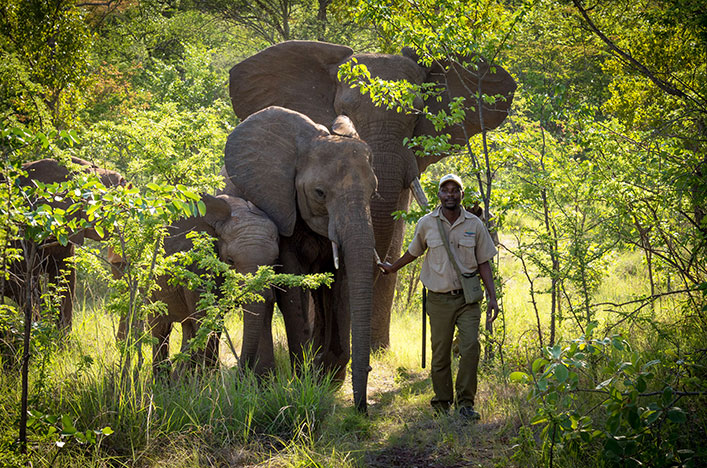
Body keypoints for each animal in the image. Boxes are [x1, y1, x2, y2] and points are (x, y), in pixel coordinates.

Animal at [138, 192, 280, 374]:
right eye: (230, 261)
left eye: (275, 262)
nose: (239, 371)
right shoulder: (198, 263)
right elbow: (206, 317)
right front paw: (209, 378)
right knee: (160, 328)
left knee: (187, 325)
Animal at [225, 105, 382, 410]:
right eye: (319, 193)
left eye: (374, 191)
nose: (362, 410)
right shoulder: (280, 205)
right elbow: (292, 290)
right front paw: (304, 382)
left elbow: (341, 285)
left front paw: (327, 379)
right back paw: (265, 381)